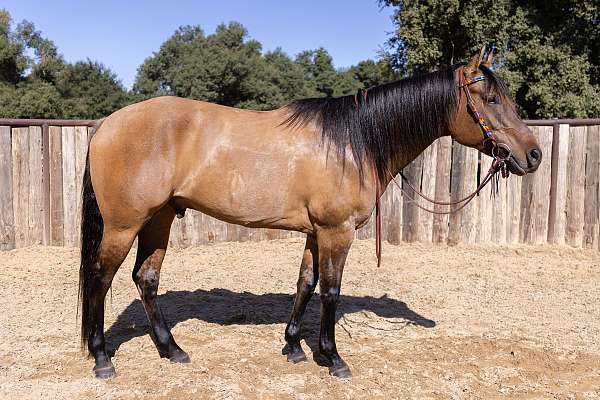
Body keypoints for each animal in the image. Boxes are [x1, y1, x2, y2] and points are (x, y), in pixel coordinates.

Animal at [77, 47, 540, 378]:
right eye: (491, 98)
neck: (355, 142)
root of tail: (105, 126)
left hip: (158, 220)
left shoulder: (316, 233)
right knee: (100, 278)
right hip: (123, 225)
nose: (533, 155)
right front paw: (332, 358)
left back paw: (171, 349)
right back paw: (102, 359)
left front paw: (294, 346)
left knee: (146, 279)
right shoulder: (337, 232)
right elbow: (330, 291)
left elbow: (305, 283)